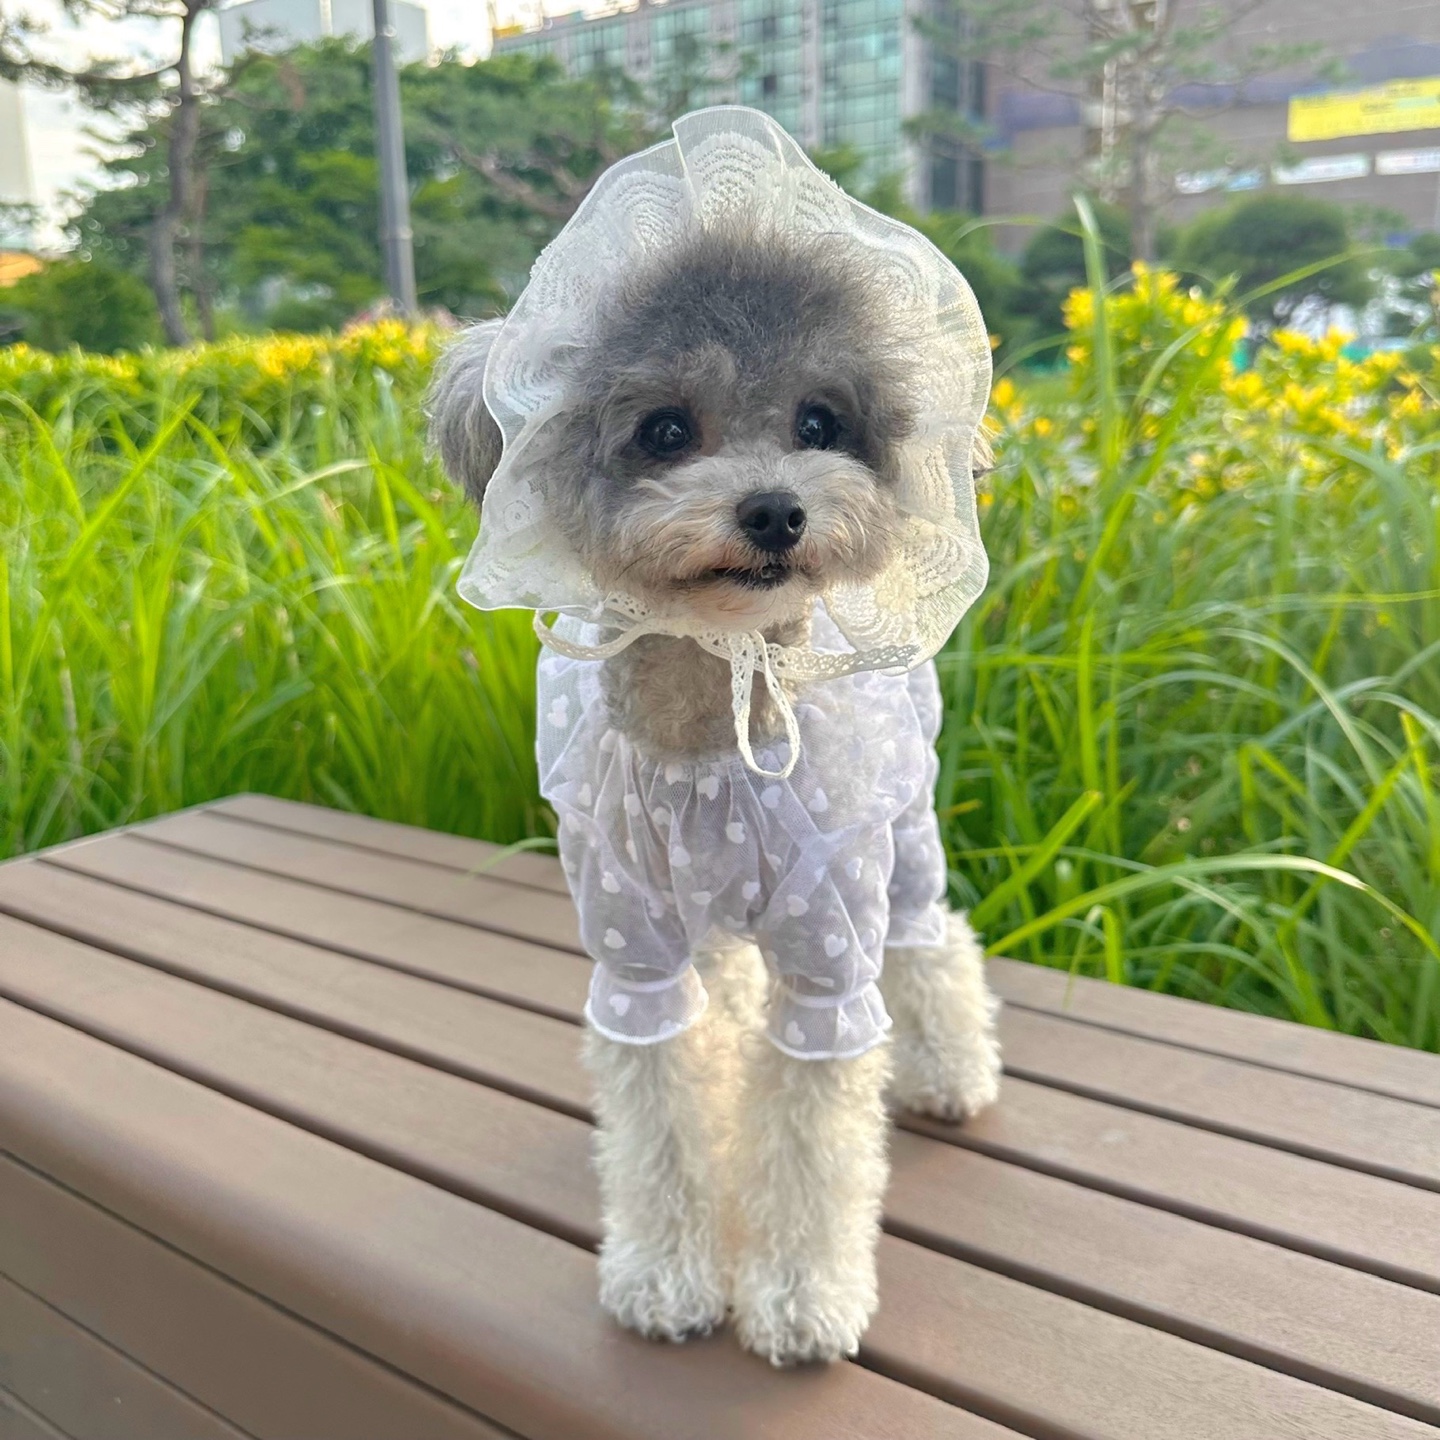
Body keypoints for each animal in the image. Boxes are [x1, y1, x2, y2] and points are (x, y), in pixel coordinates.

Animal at [429, 107, 1001, 1366]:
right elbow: (661, 1124)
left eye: (821, 423)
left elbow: (816, 1137)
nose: (776, 508)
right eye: (665, 430)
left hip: (905, 842)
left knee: (934, 943)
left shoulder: (828, 951)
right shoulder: (633, 953)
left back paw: (953, 1076)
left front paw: (802, 1302)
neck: (707, 730)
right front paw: (666, 1279)